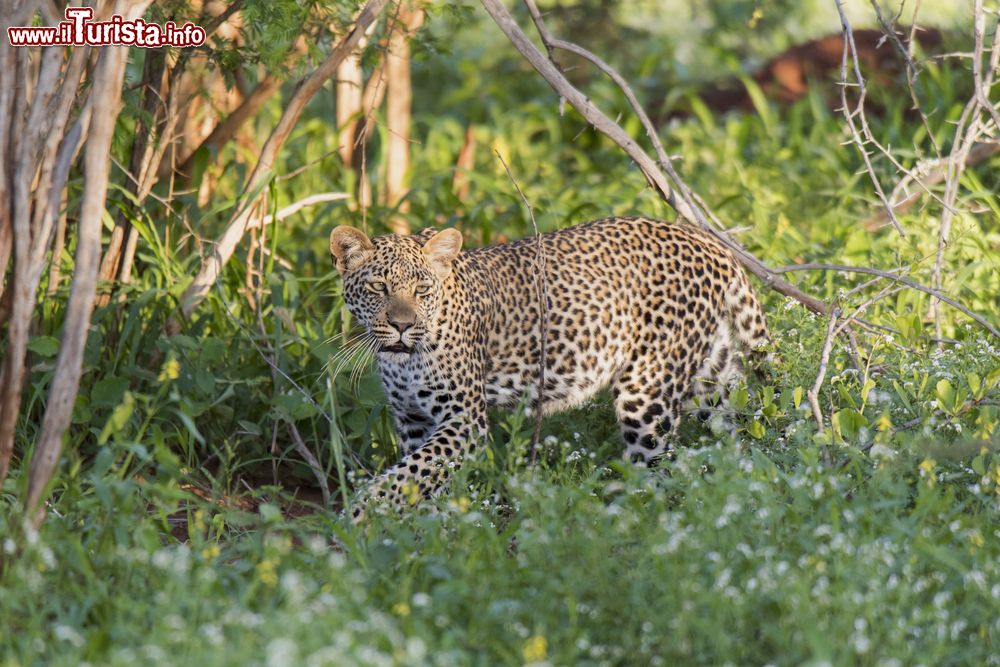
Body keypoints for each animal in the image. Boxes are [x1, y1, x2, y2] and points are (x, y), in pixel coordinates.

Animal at [332, 217, 768, 520]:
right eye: (378, 287)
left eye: (421, 290)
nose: (403, 325)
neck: (403, 361)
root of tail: (710, 243)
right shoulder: (413, 422)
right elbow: (416, 477)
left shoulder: (465, 421)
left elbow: (403, 476)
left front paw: (354, 518)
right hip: (713, 376)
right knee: (737, 432)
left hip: (647, 395)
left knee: (656, 470)